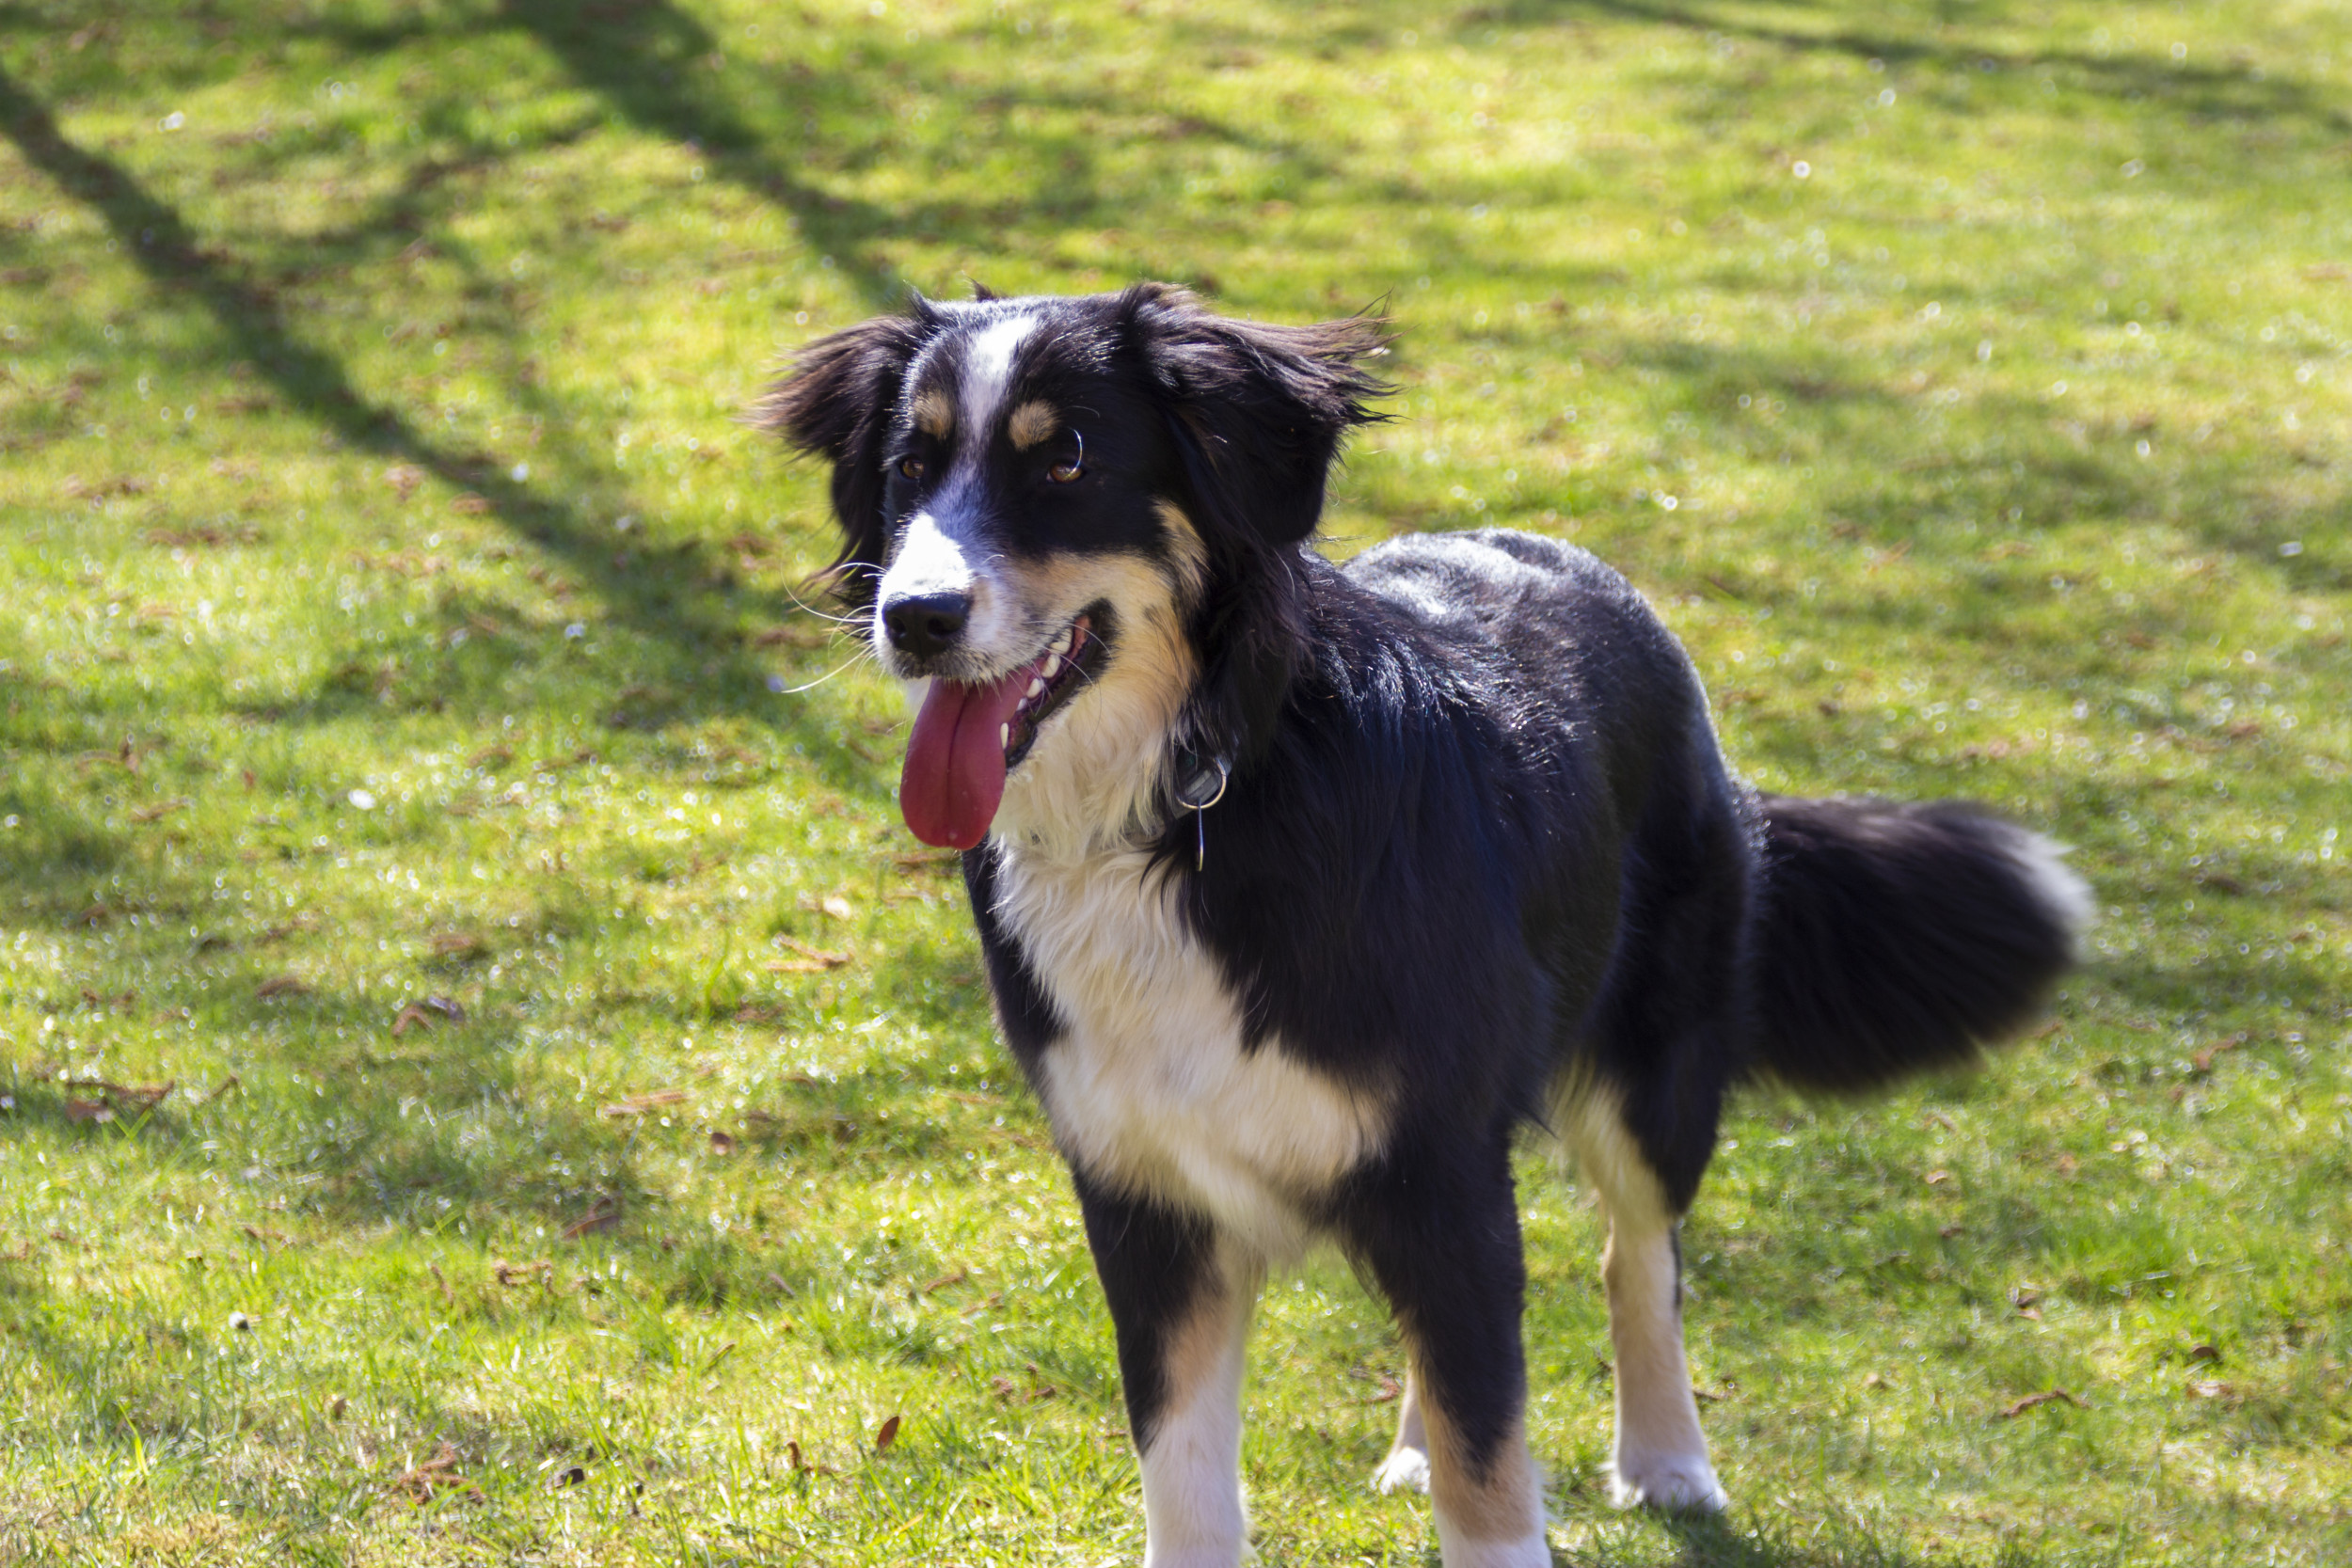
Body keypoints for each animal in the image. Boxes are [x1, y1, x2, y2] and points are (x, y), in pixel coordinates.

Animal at [757, 285, 2098, 1568]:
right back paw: (1415, 1443)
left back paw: (1667, 1456)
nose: (914, 617)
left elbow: (1491, 1468)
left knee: (1638, 1258)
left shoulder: (1440, 1168)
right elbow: (1192, 1477)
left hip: (1648, 1075)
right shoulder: (1151, 1195)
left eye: (1066, 459)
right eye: (908, 465)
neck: (1197, 801)